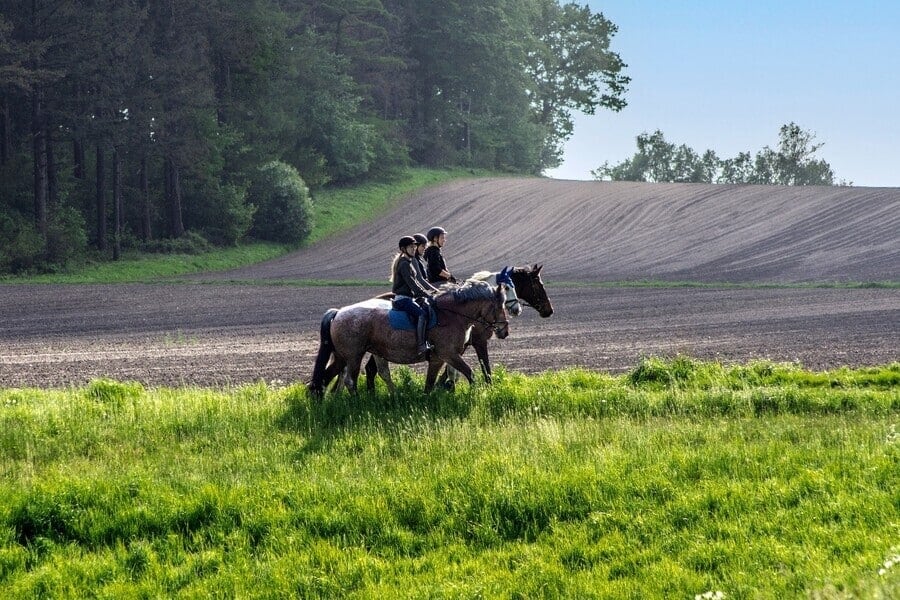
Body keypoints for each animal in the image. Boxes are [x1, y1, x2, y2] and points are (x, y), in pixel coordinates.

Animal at [310, 280, 510, 396]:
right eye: (499, 306)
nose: (504, 331)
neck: (452, 315)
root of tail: (338, 313)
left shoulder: (440, 358)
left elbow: (432, 382)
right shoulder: (448, 354)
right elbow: (469, 373)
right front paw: (478, 394)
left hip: (342, 356)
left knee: (325, 378)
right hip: (353, 356)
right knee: (349, 380)